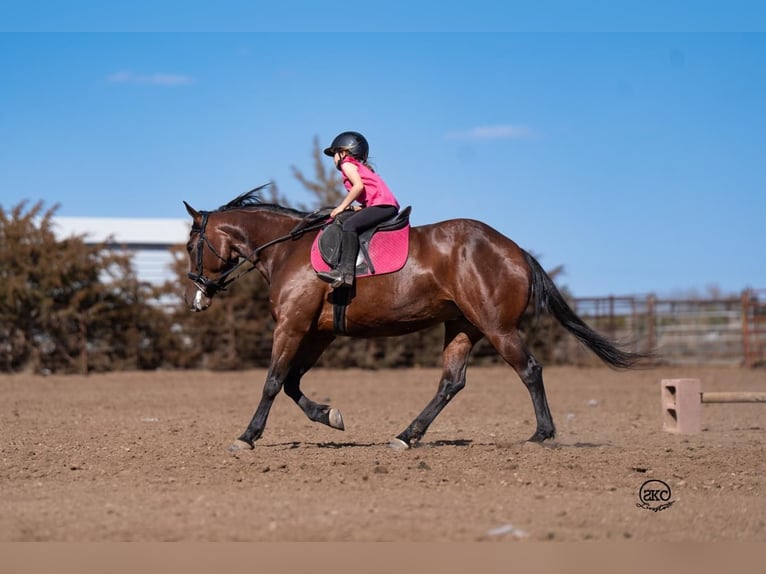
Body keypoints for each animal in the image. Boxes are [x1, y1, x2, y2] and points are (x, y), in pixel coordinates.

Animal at [183, 187, 652, 452]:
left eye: (190, 247)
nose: (196, 296)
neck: (285, 248)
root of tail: (515, 250)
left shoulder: (293, 326)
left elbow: (274, 381)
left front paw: (247, 437)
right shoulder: (317, 332)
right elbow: (292, 383)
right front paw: (330, 415)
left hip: (497, 327)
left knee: (530, 369)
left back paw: (541, 435)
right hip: (463, 326)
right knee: (451, 382)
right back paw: (407, 436)